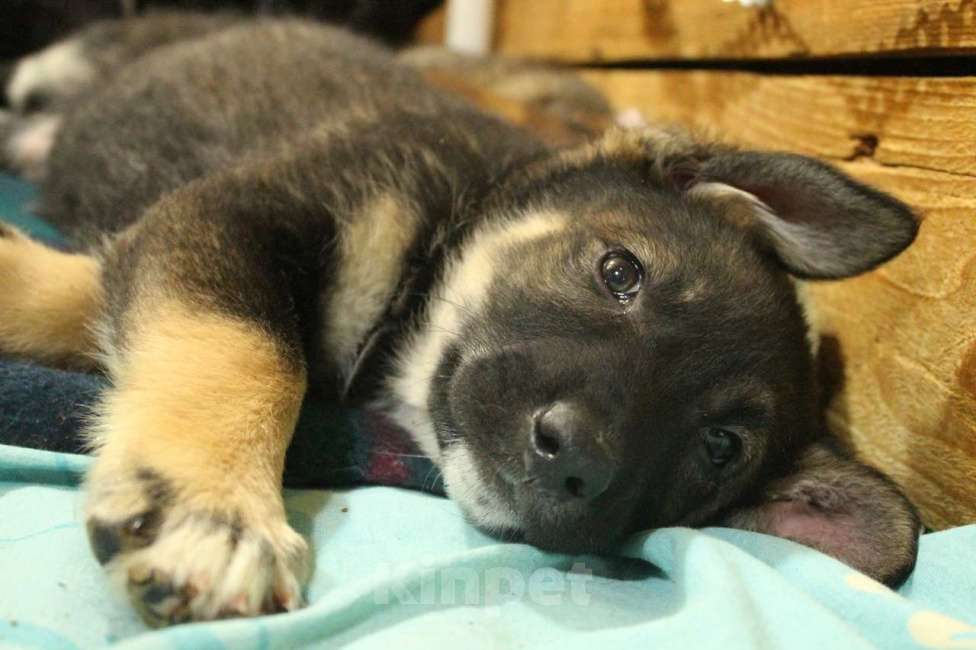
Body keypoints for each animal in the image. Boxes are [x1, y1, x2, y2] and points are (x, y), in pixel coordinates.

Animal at [0, 13, 924, 624]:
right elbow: (255, 347)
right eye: (618, 272)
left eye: (719, 448)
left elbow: (117, 298)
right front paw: (214, 512)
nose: (573, 461)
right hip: (70, 60)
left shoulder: (175, 233)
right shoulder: (230, 214)